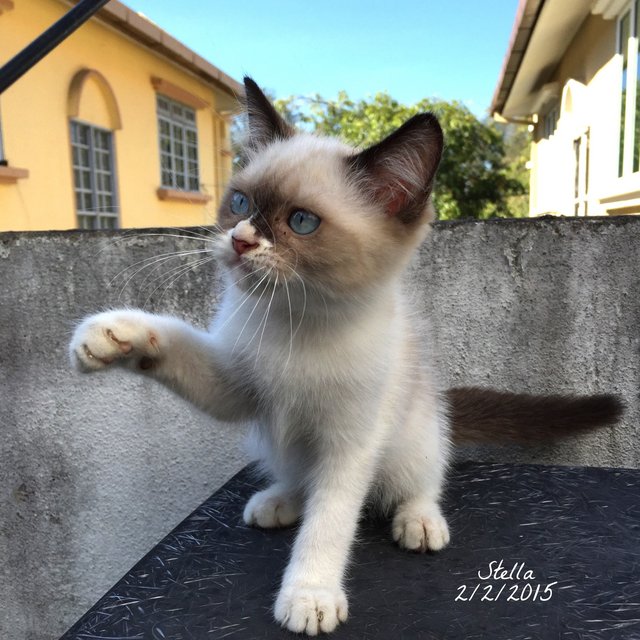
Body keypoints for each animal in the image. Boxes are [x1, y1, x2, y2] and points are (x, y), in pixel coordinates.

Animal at [69, 77, 620, 632]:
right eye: (240, 202)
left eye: (302, 221)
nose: (240, 241)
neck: (296, 324)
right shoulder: (236, 388)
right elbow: (176, 342)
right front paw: (110, 335)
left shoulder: (350, 443)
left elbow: (330, 521)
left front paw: (310, 594)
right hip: (275, 439)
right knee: (300, 479)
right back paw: (279, 501)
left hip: (411, 435)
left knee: (422, 478)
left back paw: (420, 521)